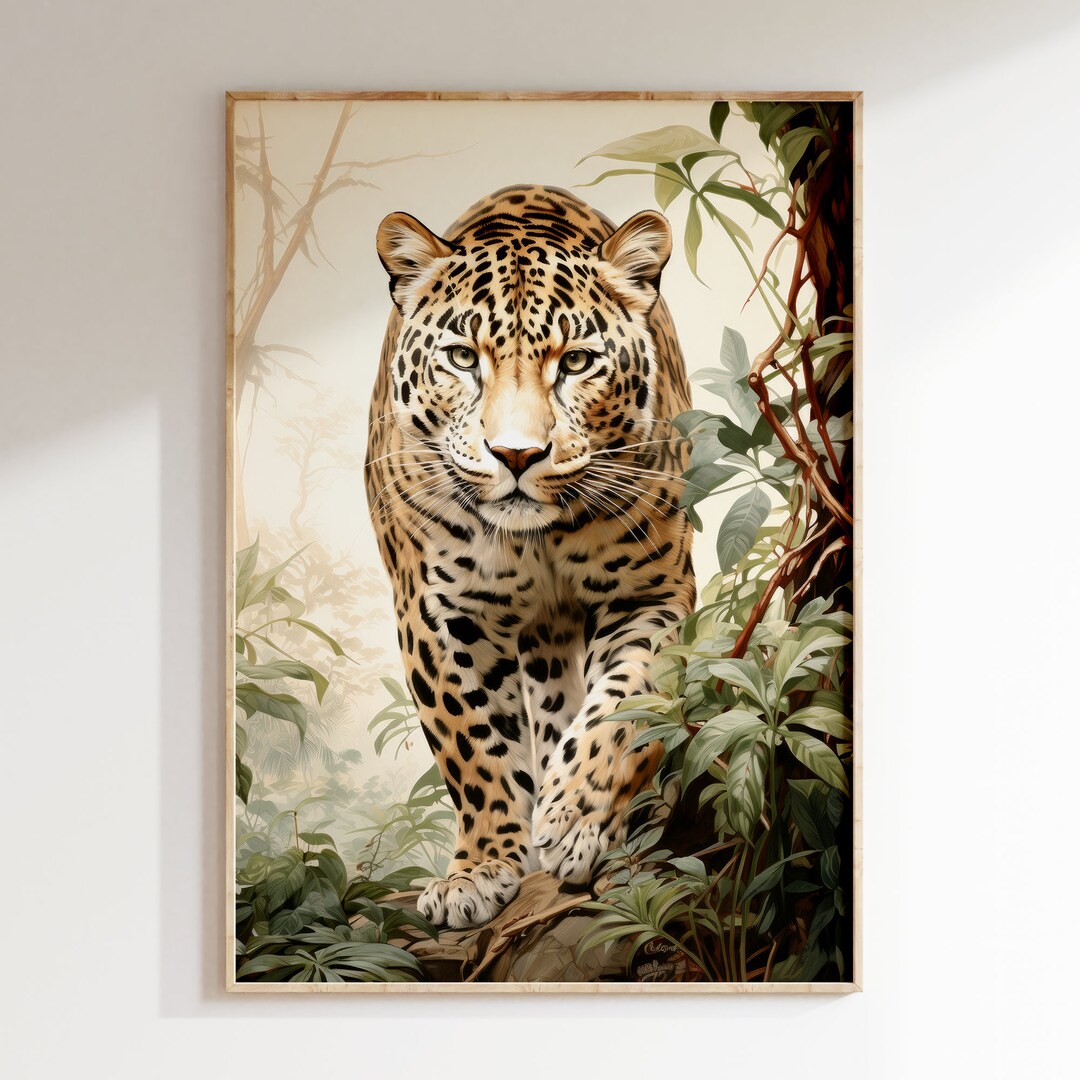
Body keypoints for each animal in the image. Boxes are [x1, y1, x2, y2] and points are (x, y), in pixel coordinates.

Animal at [364, 184, 695, 930]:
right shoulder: (437, 614)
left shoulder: (650, 593)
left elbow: (622, 703)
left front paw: (574, 819)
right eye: (463, 358)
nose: (516, 455)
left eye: (575, 362)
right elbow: (471, 744)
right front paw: (478, 870)